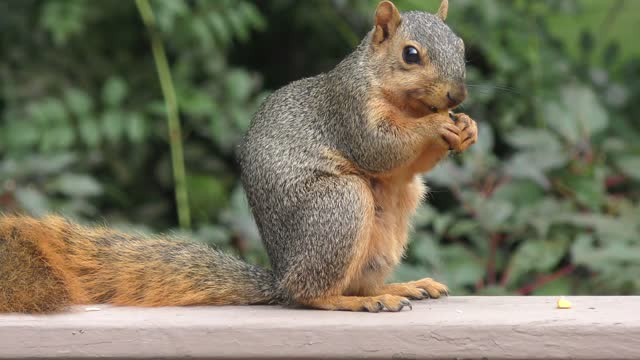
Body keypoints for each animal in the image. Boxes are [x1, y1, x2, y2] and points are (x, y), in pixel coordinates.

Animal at [0, 0, 478, 312]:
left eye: (462, 46)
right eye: (410, 54)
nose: (456, 95)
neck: (401, 100)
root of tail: (281, 275)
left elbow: (408, 165)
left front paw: (466, 127)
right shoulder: (348, 110)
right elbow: (379, 148)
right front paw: (436, 126)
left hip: (392, 220)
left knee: (356, 280)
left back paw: (401, 287)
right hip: (338, 205)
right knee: (310, 294)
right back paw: (355, 300)